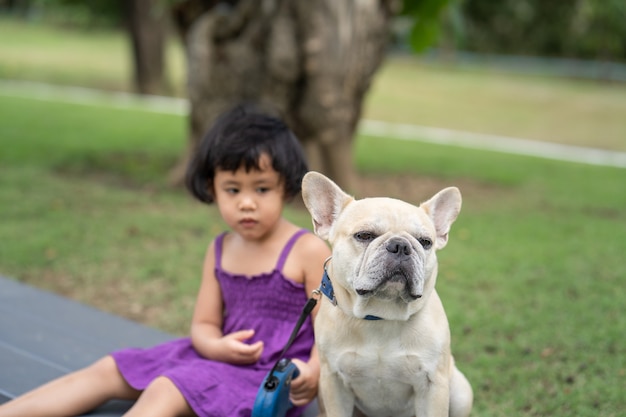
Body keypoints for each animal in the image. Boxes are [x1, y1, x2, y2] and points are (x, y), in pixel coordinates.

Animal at [302, 171, 472, 414]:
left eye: (425, 242)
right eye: (364, 235)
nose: (401, 246)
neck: (381, 314)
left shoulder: (433, 385)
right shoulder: (333, 381)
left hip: (460, 392)